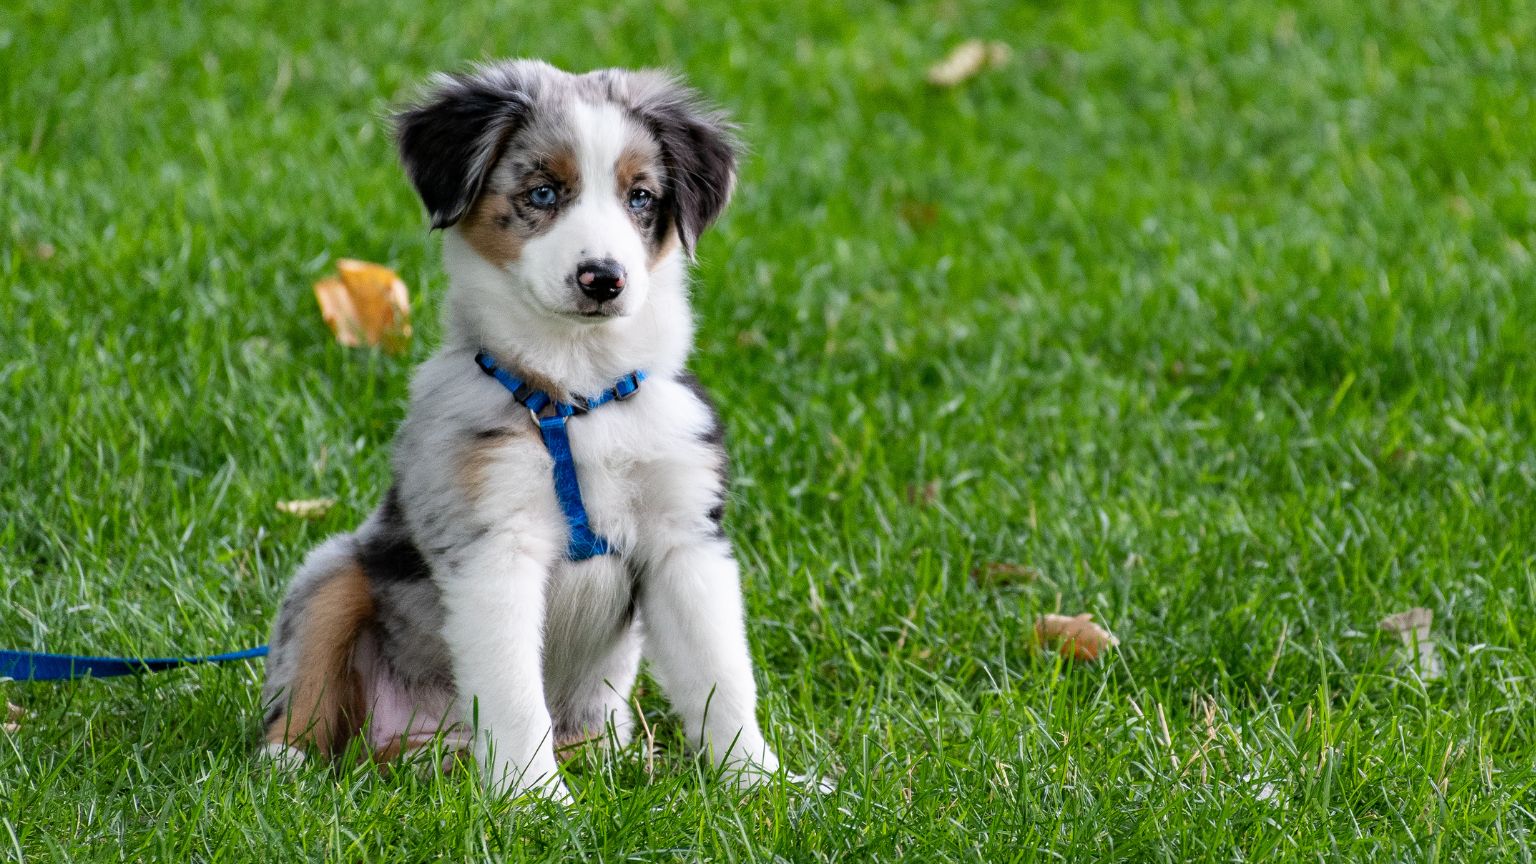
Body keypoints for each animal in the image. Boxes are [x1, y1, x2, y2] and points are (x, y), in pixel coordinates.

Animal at [256, 60, 798, 799]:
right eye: (543, 192)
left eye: (641, 197)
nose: (603, 279)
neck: (579, 393)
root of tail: (418, 746)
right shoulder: (493, 547)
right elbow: (514, 694)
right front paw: (536, 801)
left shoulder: (685, 539)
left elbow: (722, 677)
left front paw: (763, 784)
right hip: (333, 571)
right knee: (306, 683)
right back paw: (289, 766)